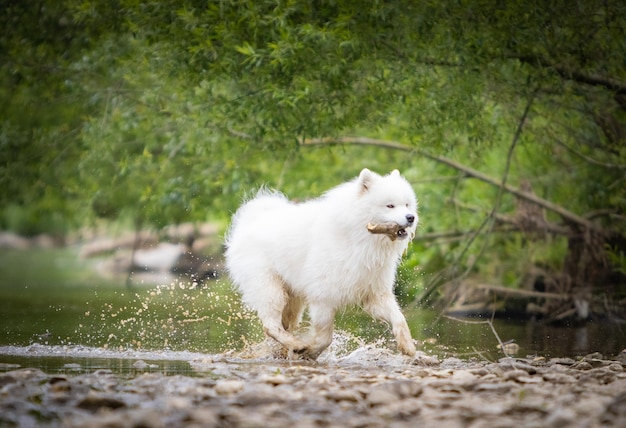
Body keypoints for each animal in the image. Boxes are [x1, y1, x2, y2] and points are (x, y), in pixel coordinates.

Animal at [222, 169, 416, 360]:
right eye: (390, 206)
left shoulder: (375, 293)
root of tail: (250, 221)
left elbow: (399, 317)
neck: (358, 239)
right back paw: (296, 345)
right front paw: (310, 351)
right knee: (270, 324)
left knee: (284, 325)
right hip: (269, 287)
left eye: (407, 205)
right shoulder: (322, 298)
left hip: (292, 299)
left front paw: (407, 345)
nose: (411, 217)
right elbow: (325, 337)